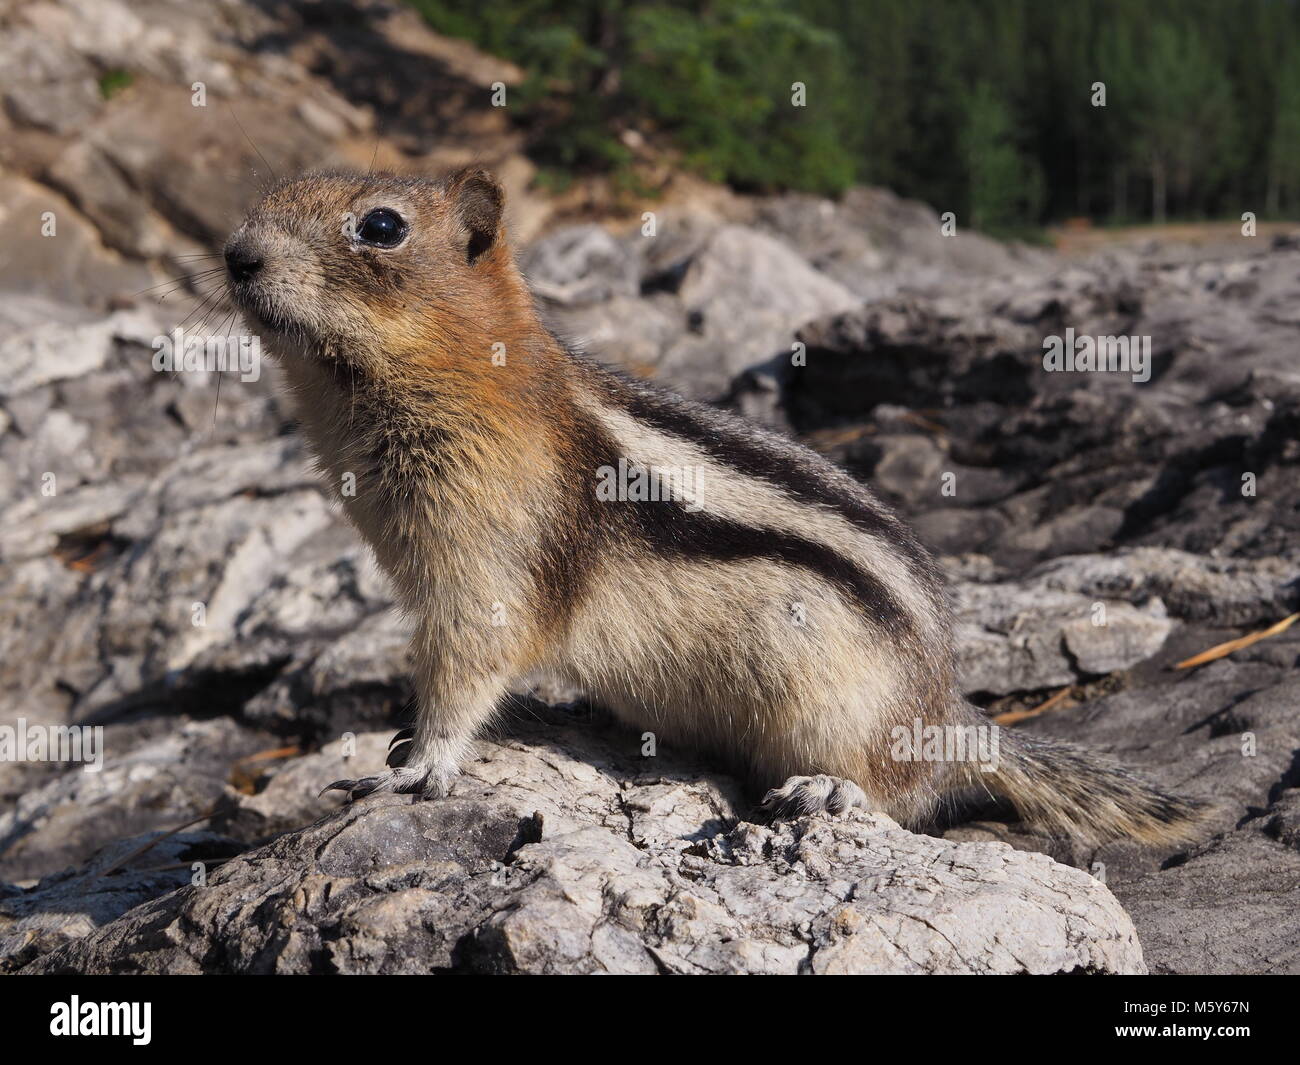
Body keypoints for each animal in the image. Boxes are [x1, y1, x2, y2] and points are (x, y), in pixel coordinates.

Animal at [223, 167, 1211, 844]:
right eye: (273, 193)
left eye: (381, 226)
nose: (235, 254)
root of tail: (946, 712)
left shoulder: (489, 566)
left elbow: (472, 667)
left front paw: (418, 764)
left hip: (832, 702)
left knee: (900, 793)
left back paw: (831, 788)